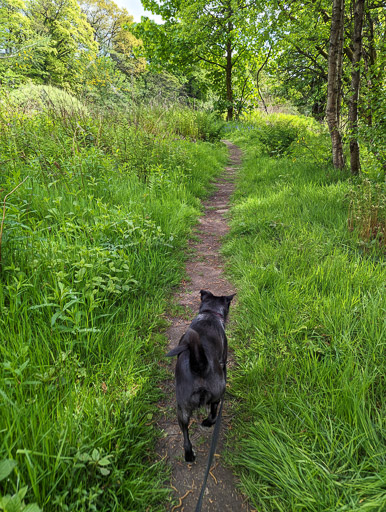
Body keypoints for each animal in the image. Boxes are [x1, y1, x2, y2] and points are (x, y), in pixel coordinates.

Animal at [167, 290, 235, 462]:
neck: (209, 314)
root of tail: (199, 365)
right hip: (219, 391)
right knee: (214, 411)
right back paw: (207, 423)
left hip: (182, 409)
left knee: (185, 434)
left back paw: (189, 454)